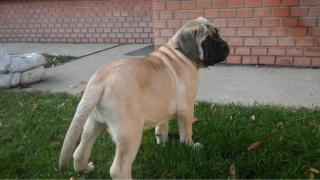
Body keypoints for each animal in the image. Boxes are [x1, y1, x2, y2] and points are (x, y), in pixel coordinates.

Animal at [59, 17, 230, 179]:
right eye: (206, 41)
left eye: (217, 33)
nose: (225, 46)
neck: (180, 55)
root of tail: (99, 81)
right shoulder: (186, 109)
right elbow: (186, 131)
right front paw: (190, 146)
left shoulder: (162, 107)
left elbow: (162, 126)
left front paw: (163, 142)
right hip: (130, 133)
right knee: (118, 169)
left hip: (92, 123)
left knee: (79, 152)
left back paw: (85, 169)